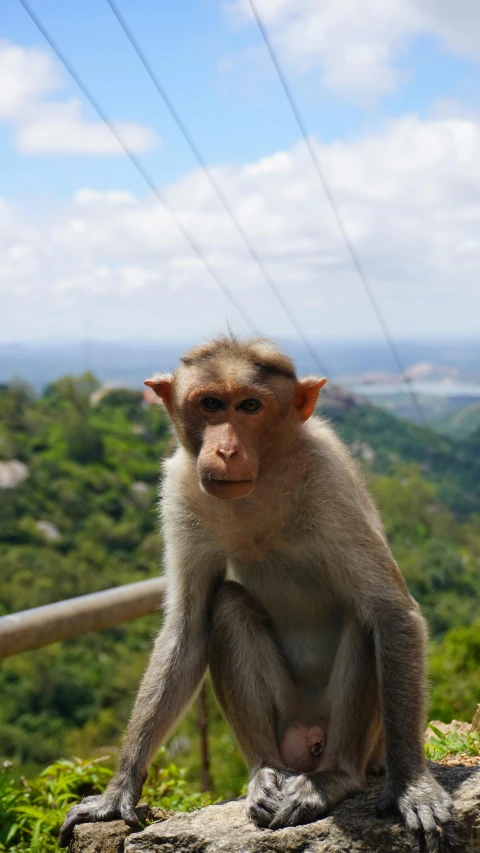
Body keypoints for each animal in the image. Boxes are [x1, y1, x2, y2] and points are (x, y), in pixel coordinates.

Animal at [59, 334, 458, 852]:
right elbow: (189, 625)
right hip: (285, 718)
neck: (262, 481)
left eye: (250, 406)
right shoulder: (182, 487)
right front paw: (117, 791)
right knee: (226, 606)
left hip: (359, 739)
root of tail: (308, 738)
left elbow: (392, 614)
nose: (226, 450)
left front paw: (412, 786)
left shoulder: (329, 475)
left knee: (361, 619)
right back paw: (265, 773)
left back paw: (333, 778)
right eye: (210, 404)